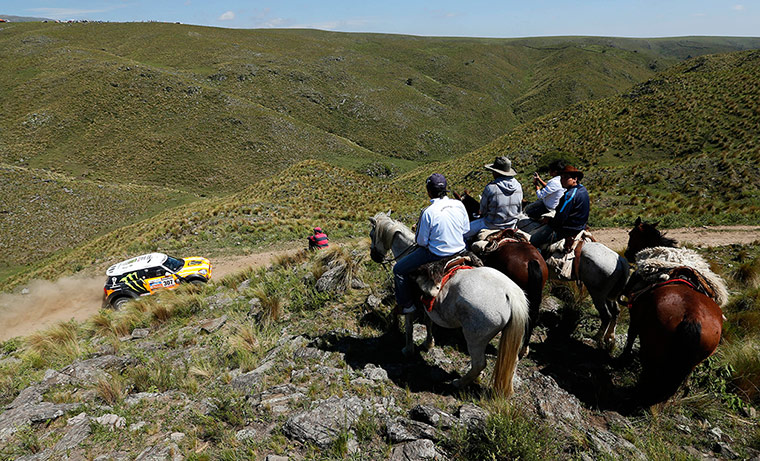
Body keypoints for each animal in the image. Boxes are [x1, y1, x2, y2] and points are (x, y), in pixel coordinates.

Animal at [368, 210, 528, 394]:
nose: (374, 256)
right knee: (511, 360)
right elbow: (428, 323)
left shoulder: (411, 303)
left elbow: (408, 326)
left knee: (479, 363)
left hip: (475, 337)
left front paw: (408, 349)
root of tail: (509, 293)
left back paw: (459, 383)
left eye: (372, 234)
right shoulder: (428, 305)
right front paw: (428, 344)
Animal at [454, 190, 628, 348]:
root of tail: (621, 261)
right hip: (609, 295)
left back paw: (597, 338)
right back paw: (610, 338)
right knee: (615, 312)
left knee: (606, 315)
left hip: (597, 293)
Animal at [624, 218, 724, 402]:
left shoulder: (634, 316)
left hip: (652, 348)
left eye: (631, 234)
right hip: (692, 362)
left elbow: (630, 336)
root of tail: (693, 317)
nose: (627, 254)